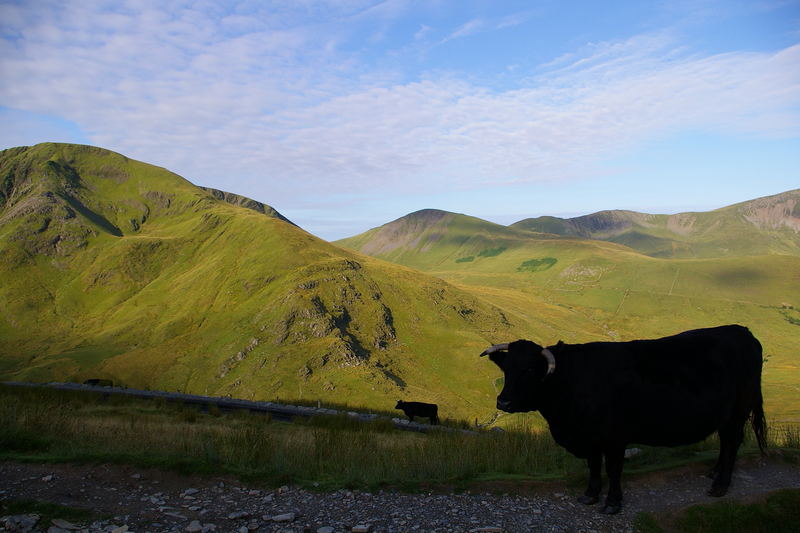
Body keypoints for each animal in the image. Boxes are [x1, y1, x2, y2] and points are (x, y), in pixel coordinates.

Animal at [482, 324, 768, 516]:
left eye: (530, 370)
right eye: (506, 368)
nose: (503, 403)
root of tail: (742, 331)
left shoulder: (615, 437)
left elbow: (613, 469)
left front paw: (612, 503)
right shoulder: (590, 438)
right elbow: (594, 466)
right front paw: (590, 495)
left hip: (737, 412)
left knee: (732, 443)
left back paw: (720, 486)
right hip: (724, 416)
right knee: (725, 442)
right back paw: (714, 472)